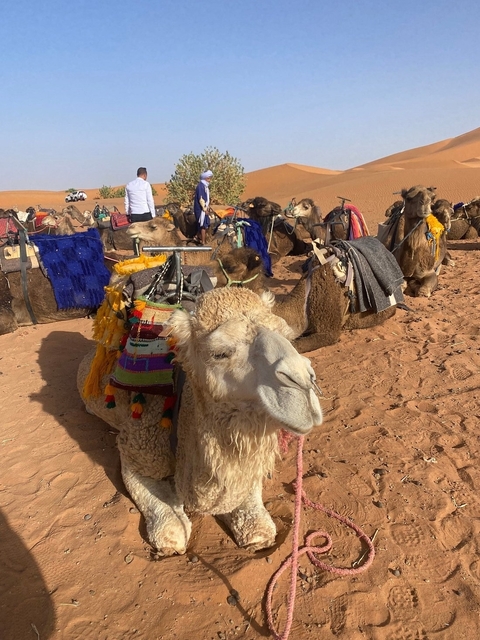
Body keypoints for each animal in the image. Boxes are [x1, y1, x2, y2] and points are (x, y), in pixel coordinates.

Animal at [77, 287, 323, 555]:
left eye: (288, 337)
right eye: (219, 353)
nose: (303, 388)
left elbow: (255, 517)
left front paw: (256, 532)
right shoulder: (139, 450)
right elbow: (168, 523)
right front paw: (171, 536)